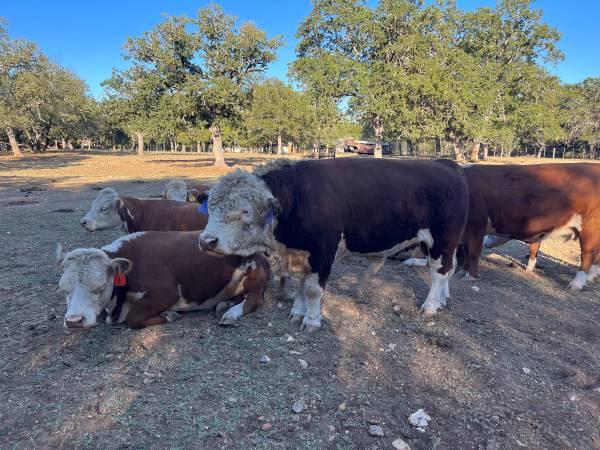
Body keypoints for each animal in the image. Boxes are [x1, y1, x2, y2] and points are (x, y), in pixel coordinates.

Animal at [56, 230, 270, 328]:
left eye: (100, 287)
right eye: (64, 289)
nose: (74, 321)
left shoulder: (167, 292)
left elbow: (134, 318)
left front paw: (168, 315)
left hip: (254, 275)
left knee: (254, 298)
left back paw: (231, 313)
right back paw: (224, 304)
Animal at [199, 158, 472, 330]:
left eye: (245, 210)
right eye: (210, 206)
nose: (206, 241)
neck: (300, 196)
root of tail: (446, 165)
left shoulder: (323, 251)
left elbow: (312, 289)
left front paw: (311, 321)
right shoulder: (300, 254)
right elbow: (300, 285)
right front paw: (297, 313)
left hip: (442, 239)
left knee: (438, 272)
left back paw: (431, 305)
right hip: (441, 243)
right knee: (448, 269)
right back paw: (443, 299)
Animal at [460, 163, 600, 290]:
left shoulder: (476, 225)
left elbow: (473, 251)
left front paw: (469, 276)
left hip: (589, 228)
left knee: (587, 254)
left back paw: (576, 283)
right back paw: (590, 277)